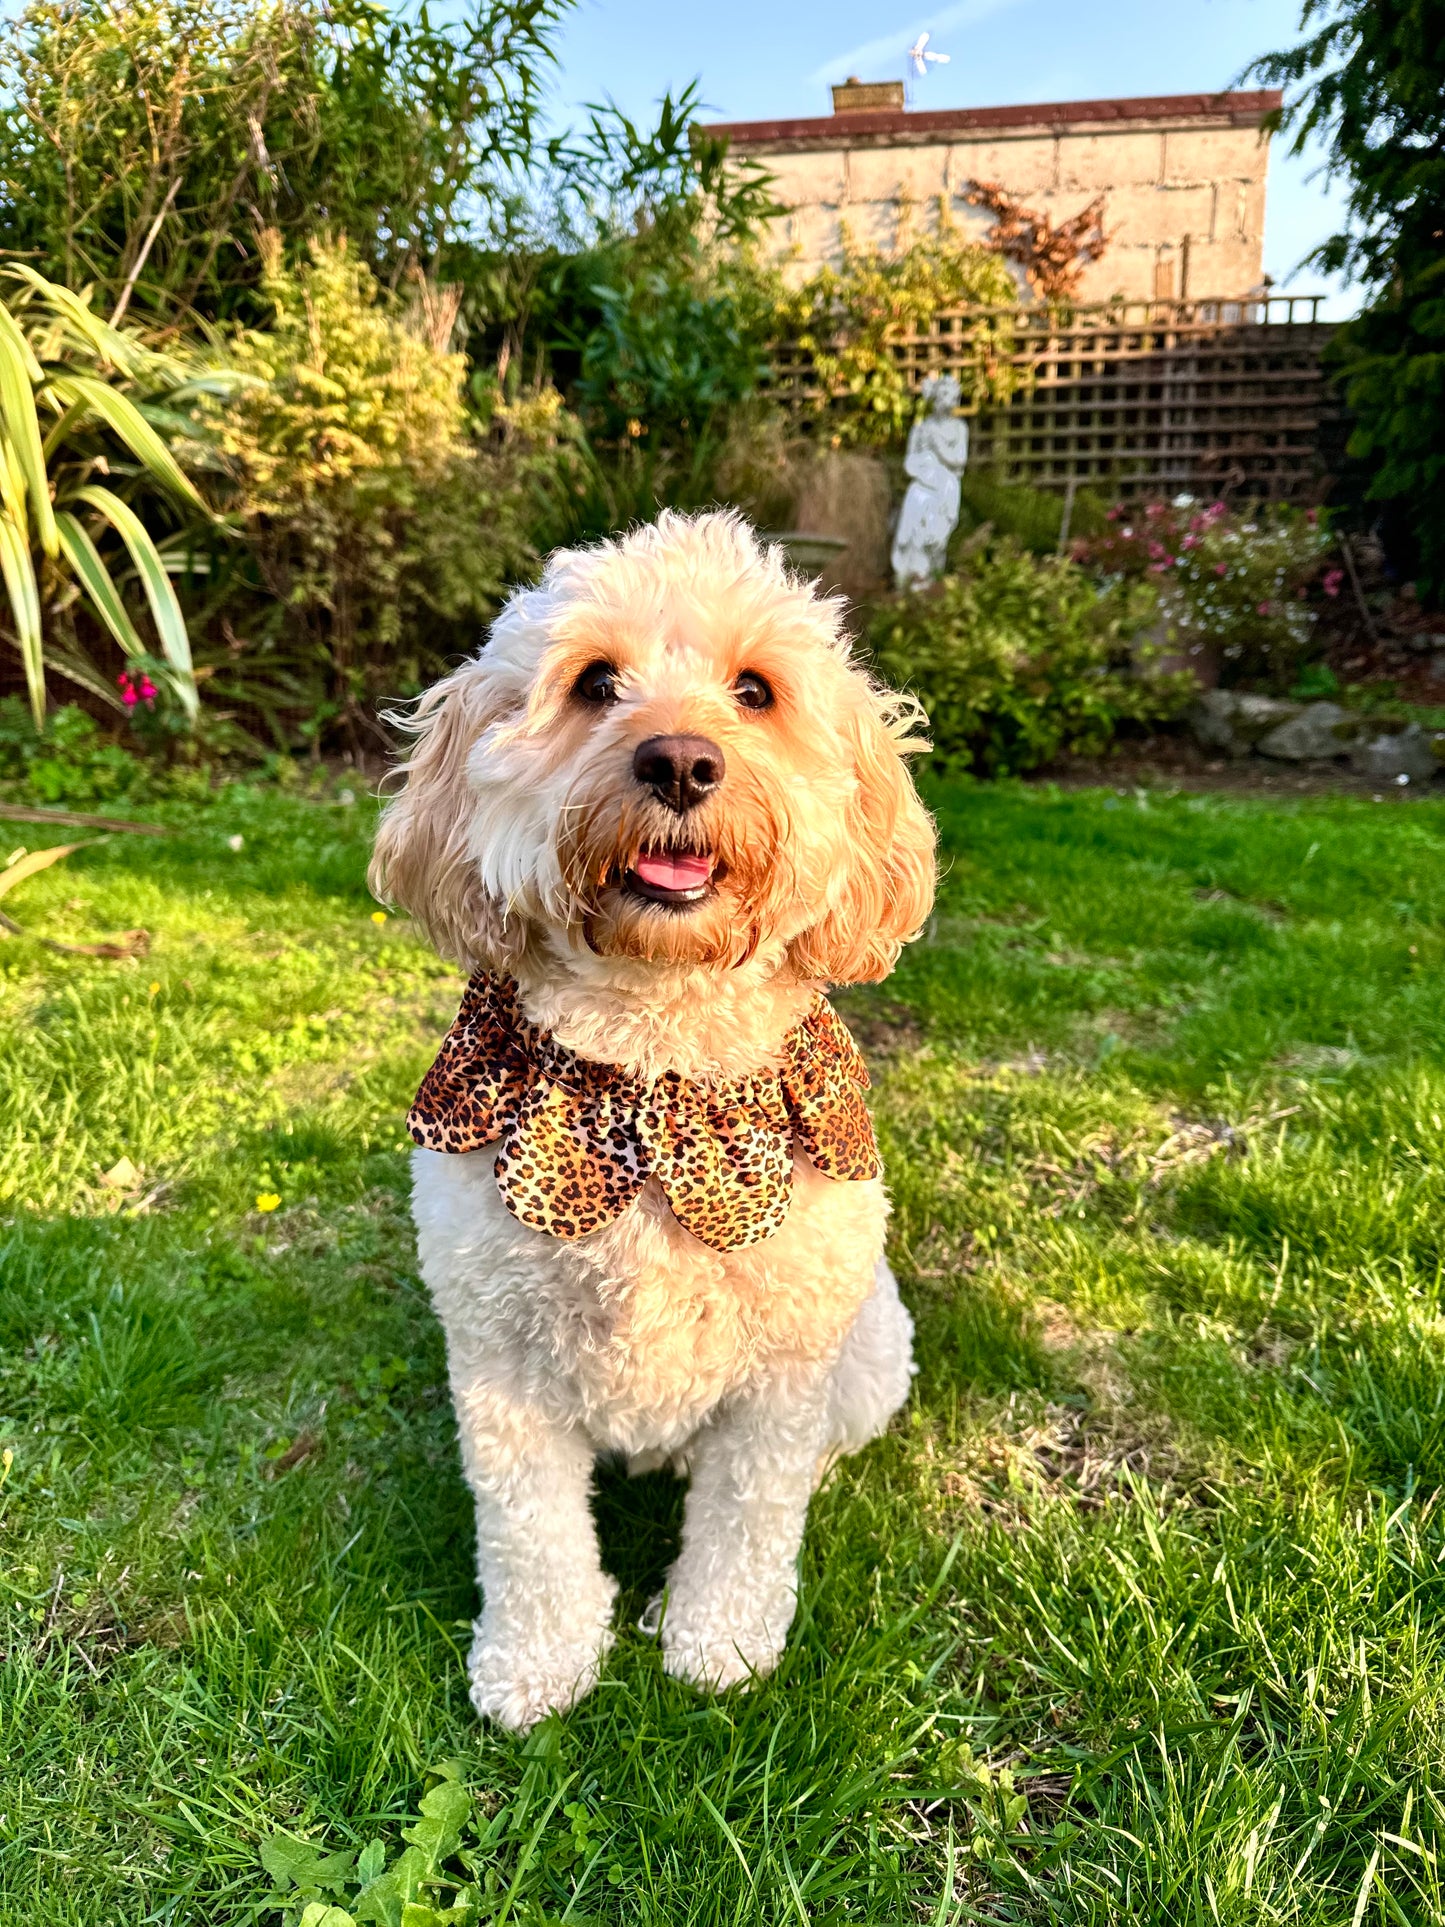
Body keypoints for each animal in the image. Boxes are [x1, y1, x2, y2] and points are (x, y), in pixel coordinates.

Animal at [373, 512, 940, 1734]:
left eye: (754, 690)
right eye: (594, 681)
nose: (679, 760)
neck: (653, 1066)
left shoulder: (781, 1369)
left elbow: (749, 1518)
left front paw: (717, 1644)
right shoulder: (496, 1358)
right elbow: (530, 1533)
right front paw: (535, 1665)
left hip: (868, 1346)